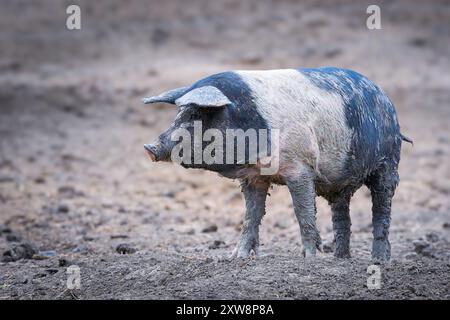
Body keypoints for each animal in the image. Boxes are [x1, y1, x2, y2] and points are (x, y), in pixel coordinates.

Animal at [142, 66, 412, 262]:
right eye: (179, 114)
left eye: (196, 115)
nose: (150, 148)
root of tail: (386, 99)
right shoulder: (253, 177)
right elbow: (251, 215)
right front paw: (235, 258)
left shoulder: (300, 167)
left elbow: (303, 211)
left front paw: (310, 259)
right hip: (342, 181)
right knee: (341, 213)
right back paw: (340, 259)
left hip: (389, 163)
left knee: (382, 207)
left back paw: (379, 261)